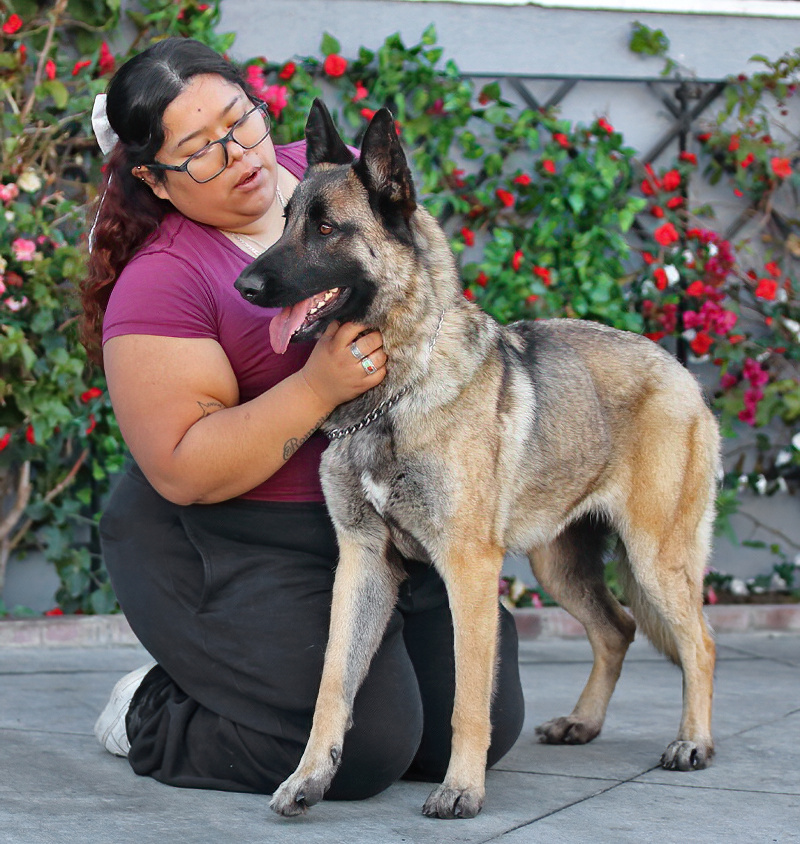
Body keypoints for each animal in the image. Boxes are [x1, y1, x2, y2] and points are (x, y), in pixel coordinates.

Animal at [234, 99, 719, 819]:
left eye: (324, 229)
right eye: (286, 218)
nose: (244, 284)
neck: (398, 390)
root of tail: (682, 373)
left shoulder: (468, 571)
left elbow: (467, 696)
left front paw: (461, 788)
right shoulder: (361, 565)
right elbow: (332, 682)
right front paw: (309, 778)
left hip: (656, 558)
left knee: (699, 643)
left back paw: (694, 741)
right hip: (559, 565)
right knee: (617, 629)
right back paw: (584, 722)